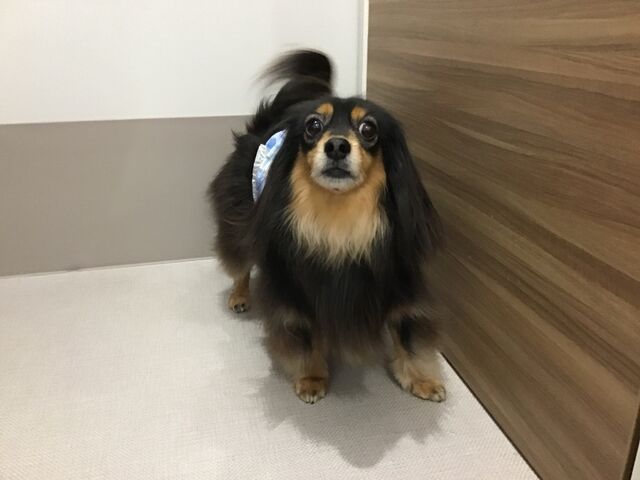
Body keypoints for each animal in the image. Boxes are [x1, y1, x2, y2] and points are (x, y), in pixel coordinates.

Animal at [208, 50, 444, 404]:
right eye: (313, 126)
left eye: (368, 129)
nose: (336, 146)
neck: (340, 224)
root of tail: (264, 126)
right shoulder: (295, 288)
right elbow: (306, 336)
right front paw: (312, 377)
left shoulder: (396, 279)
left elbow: (408, 334)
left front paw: (422, 379)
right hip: (239, 228)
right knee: (240, 265)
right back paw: (239, 296)